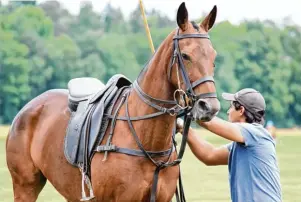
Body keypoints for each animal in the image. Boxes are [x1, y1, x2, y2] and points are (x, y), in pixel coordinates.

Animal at [5, 2, 219, 201]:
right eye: (185, 55)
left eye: (213, 56)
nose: (209, 107)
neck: (147, 140)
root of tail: (27, 108)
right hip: (25, 185)